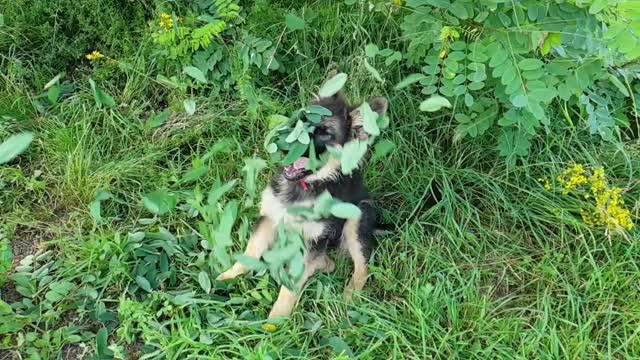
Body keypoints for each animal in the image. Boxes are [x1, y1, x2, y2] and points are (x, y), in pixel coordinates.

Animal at [216, 88, 390, 320]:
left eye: (325, 133)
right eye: (303, 119)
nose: (284, 140)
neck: (305, 186)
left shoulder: (314, 239)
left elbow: (291, 285)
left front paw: (276, 320)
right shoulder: (270, 218)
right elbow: (250, 252)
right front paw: (230, 277)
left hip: (357, 219)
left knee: (362, 268)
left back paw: (349, 297)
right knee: (328, 264)